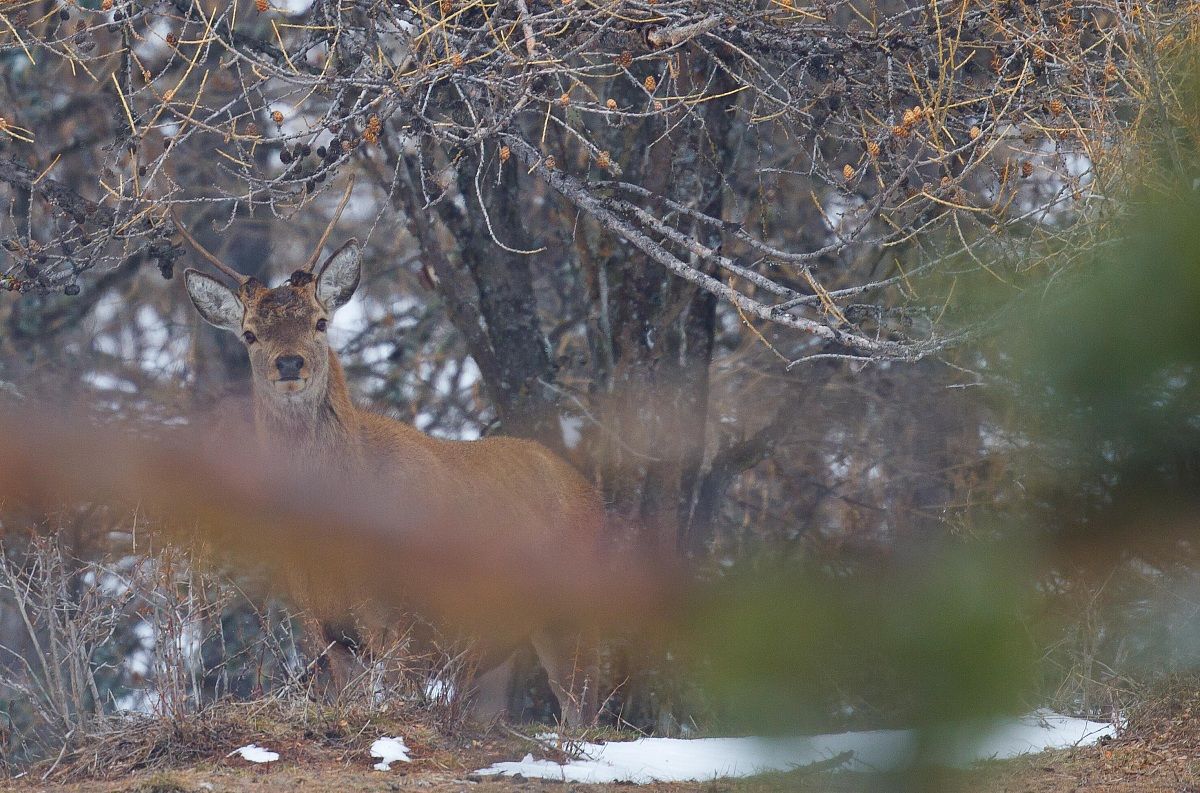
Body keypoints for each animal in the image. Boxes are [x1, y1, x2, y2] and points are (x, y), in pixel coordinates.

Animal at [175, 192, 602, 727]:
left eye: (320, 322)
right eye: (250, 333)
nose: (290, 362)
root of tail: (589, 490)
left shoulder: (406, 616)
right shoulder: (323, 622)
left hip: (570, 614)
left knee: (583, 711)